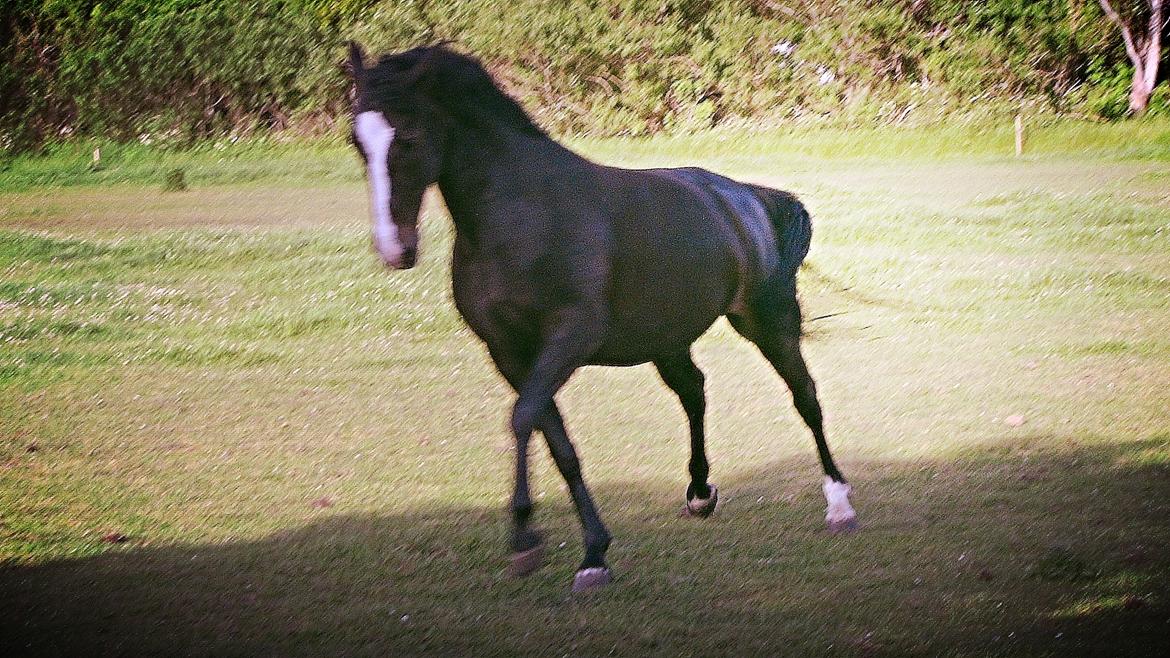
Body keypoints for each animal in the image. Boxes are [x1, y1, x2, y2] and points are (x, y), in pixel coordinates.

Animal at [341, 43, 856, 592]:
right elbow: (555, 439)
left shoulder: (568, 338)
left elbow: (523, 419)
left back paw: (839, 504)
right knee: (694, 392)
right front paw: (590, 551)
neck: (523, 218)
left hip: (767, 320)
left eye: (409, 135)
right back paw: (700, 492)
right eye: (358, 140)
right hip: (667, 338)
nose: (395, 250)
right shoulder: (509, 352)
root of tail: (750, 198)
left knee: (805, 397)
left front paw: (529, 541)